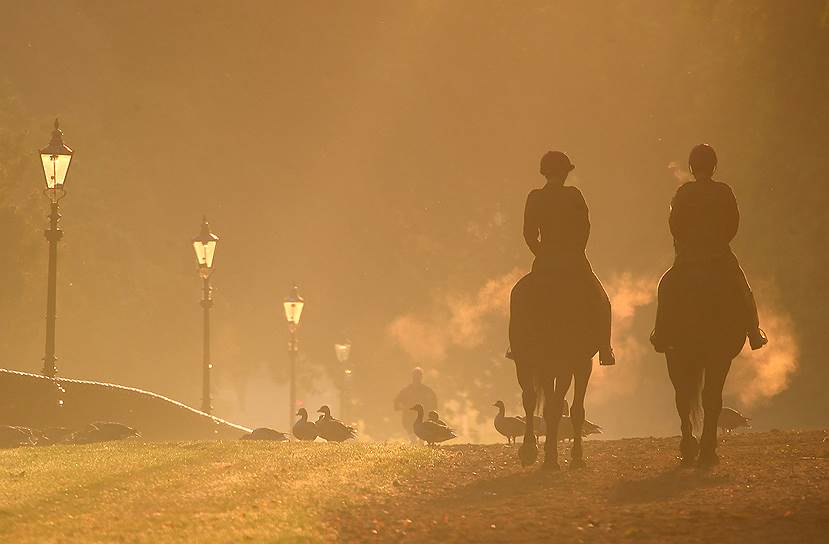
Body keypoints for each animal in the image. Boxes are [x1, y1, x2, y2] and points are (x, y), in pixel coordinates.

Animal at [508, 270, 600, 470]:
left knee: (531, 399)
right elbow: (573, 409)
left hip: (528, 362)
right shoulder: (579, 364)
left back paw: (531, 449)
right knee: (549, 405)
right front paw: (574, 457)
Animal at [656, 260, 748, 468]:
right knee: (707, 398)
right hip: (712, 357)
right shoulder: (721, 357)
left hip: (675, 356)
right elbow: (713, 399)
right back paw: (704, 450)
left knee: (682, 397)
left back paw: (689, 448)